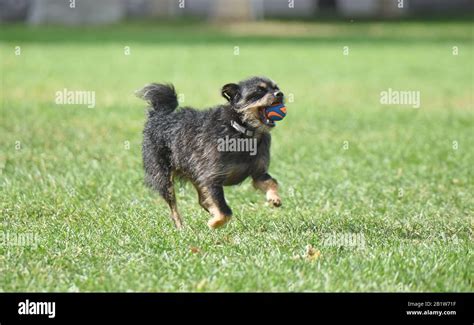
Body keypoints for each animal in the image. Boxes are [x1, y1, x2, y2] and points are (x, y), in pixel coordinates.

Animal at [138, 76, 286, 229]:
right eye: (259, 91)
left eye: (276, 88)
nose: (280, 94)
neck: (241, 130)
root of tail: (159, 115)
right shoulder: (211, 178)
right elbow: (225, 211)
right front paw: (214, 223)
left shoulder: (258, 174)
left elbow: (271, 182)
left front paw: (274, 198)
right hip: (164, 178)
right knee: (173, 206)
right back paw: (181, 227)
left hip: (195, 173)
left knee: (202, 201)